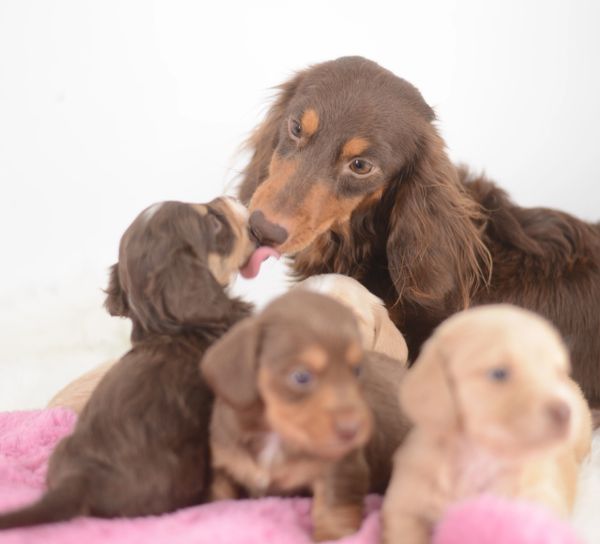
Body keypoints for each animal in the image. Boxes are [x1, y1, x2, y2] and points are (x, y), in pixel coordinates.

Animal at [201, 290, 410, 541]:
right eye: (301, 376)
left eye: (357, 370)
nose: (352, 429)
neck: (276, 434)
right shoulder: (223, 464)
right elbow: (219, 497)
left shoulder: (342, 467)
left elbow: (334, 507)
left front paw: (332, 535)